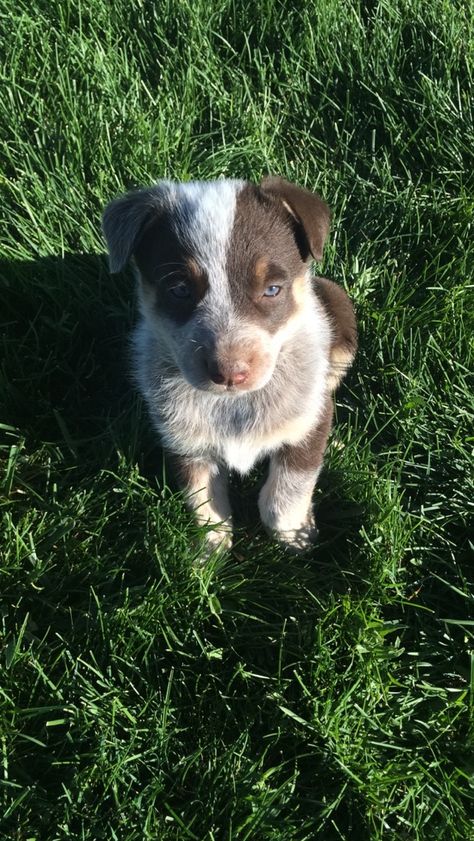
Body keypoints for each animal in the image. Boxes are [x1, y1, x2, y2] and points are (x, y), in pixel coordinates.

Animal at [103, 176, 356, 556]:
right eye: (179, 289)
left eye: (272, 289)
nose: (230, 373)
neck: (234, 406)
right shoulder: (184, 441)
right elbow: (203, 501)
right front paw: (209, 551)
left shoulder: (306, 423)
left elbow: (285, 491)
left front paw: (296, 535)